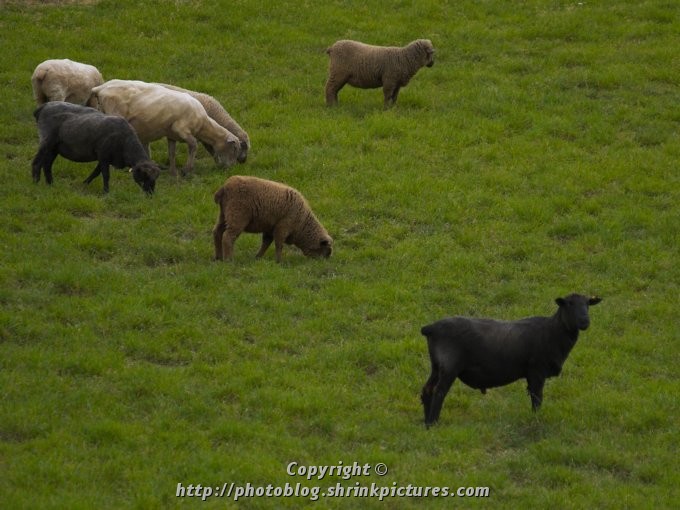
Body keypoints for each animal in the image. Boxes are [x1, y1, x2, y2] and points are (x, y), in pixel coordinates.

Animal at [31, 101, 161, 195]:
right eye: (145, 175)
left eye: (156, 178)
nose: (150, 195)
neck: (126, 142)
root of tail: (43, 107)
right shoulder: (103, 155)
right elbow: (105, 175)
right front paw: (106, 192)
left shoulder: (106, 158)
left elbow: (96, 173)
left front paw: (84, 184)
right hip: (46, 140)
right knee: (37, 162)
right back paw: (35, 183)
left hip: (54, 147)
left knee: (47, 165)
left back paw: (50, 184)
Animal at [89, 79, 240, 175]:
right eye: (234, 149)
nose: (231, 169)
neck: (203, 124)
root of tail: (100, 88)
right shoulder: (181, 128)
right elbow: (193, 145)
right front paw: (187, 170)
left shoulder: (172, 135)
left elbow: (171, 153)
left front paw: (173, 172)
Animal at [420, 294, 602, 427]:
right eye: (569, 304)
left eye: (588, 304)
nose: (585, 321)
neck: (554, 331)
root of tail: (430, 328)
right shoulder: (537, 370)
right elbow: (537, 397)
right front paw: (536, 419)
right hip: (449, 365)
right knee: (438, 391)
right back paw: (433, 423)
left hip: (436, 365)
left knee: (427, 389)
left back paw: (426, 422)